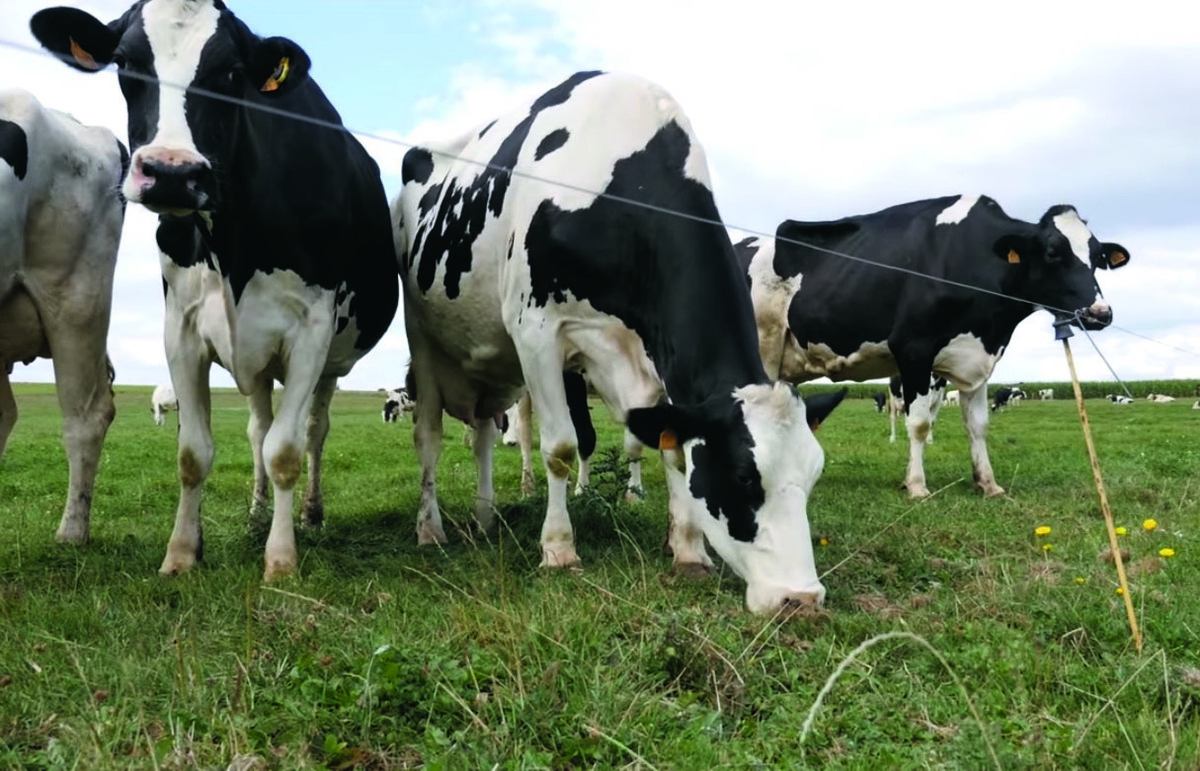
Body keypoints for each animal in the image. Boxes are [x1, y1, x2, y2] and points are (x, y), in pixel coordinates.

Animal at [32, 1, 400, 579]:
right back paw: (255, 514)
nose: (171, 172)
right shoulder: (181, 329)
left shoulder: (312, 331)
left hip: (331, 362)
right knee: (258, 430)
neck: (235, 247)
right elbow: (194, 453)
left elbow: (287, 452)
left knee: (314, 430)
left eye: (231, 73)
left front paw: (281, 560)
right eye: (126, 63)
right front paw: (182, 553)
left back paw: (310, 514)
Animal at [395, 71, 844, 613]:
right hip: (423, 341)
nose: (802, 598)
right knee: (429, 439)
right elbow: (561, 447)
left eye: (814, 475)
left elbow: (671, 448)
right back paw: (430, 530)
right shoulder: (536, 331)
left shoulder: (654, 352)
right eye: (742, 476)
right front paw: (559, 550)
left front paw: (687, 549)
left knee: (483, 434)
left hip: (487, 364)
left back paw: (485, 518)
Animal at [738, 194, 1128, 498]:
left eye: (1097, 257)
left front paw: (988, 484)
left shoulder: (978, 359)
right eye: (1052, 252)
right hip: (763, 346)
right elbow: (920, 423)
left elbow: (978, 425)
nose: (1100, 313)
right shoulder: (913, 348)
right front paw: (916, 485)